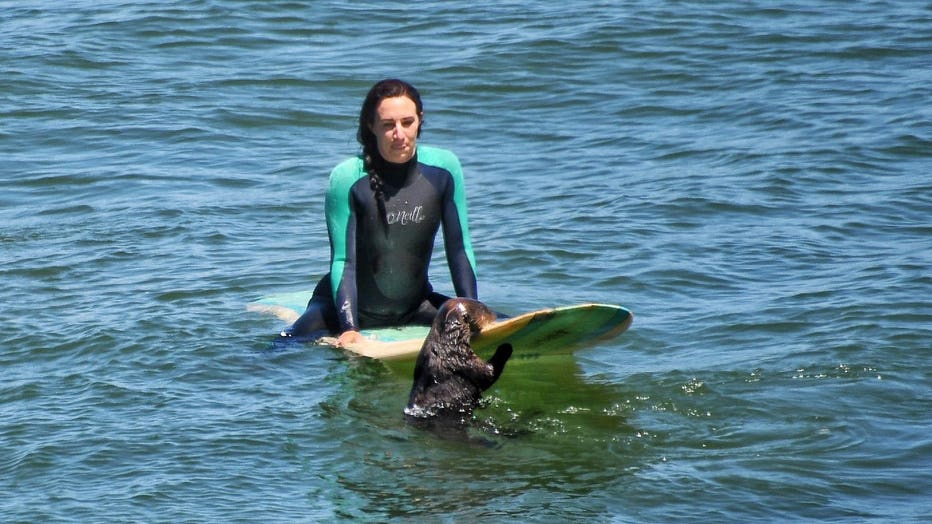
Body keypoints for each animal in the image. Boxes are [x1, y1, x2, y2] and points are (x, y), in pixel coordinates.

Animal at [404, 296, 512, 424]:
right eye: (485, 310)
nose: (495, 315)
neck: (445, 345)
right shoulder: (462, 360)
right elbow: (488, 374)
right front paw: (506, 346)